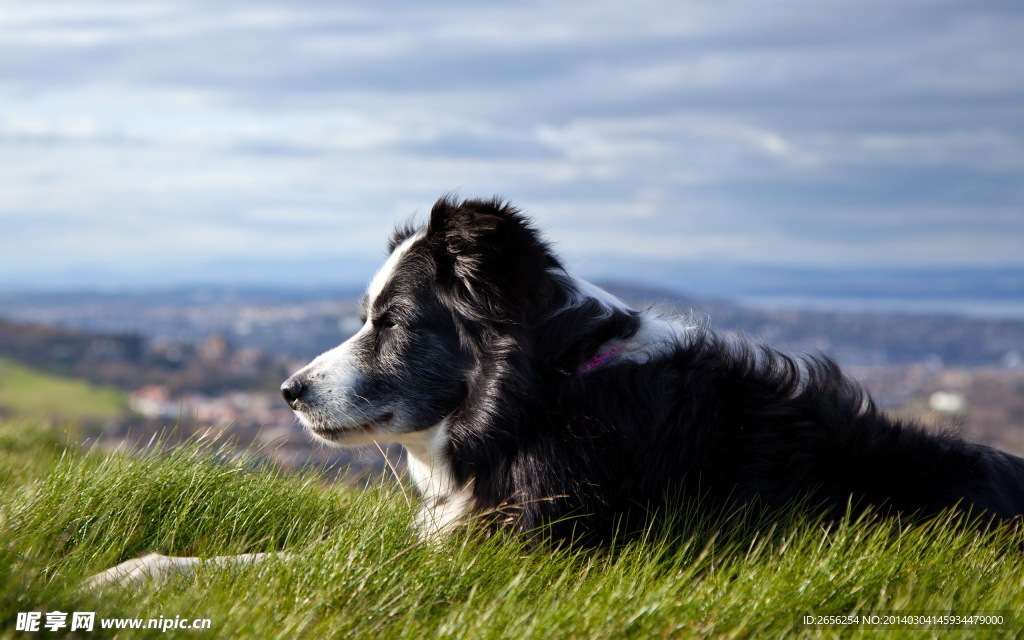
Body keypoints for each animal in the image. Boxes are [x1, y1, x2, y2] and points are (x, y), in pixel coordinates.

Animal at [86, 193, 1024, 585]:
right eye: (364, 317)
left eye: (393, 322)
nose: (287, 390)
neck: (546, 397)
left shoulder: (512, 548)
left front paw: (130, 577)